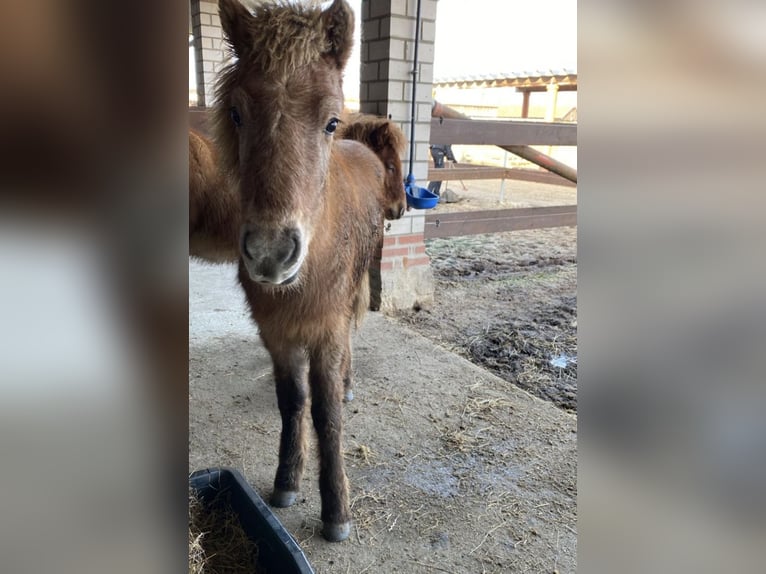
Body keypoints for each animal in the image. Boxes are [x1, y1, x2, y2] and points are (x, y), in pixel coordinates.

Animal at [213, 0, 402, 542]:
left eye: (331, 121)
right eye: (236, 113)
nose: (271, 254)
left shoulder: (326, 328)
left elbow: (326, 412)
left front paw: (336, 511)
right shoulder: (278, 335)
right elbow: (293, 402)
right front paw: (286, 482)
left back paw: (349, 379)